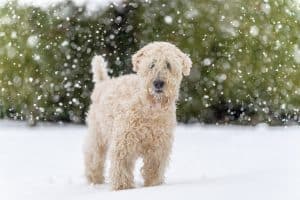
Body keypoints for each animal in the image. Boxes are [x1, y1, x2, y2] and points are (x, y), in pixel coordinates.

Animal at [84, 41, 192, 190]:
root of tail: (102, 83)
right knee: (93, 158)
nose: (158, 83)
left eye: (168, 65)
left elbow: (154, 169)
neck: (150, 109)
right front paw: (123, 188)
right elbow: (121, 168)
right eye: (151, 64)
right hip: (97, 134)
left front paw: (153, 186)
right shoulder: (123, 142)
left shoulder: (159, 147)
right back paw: (95, 181)